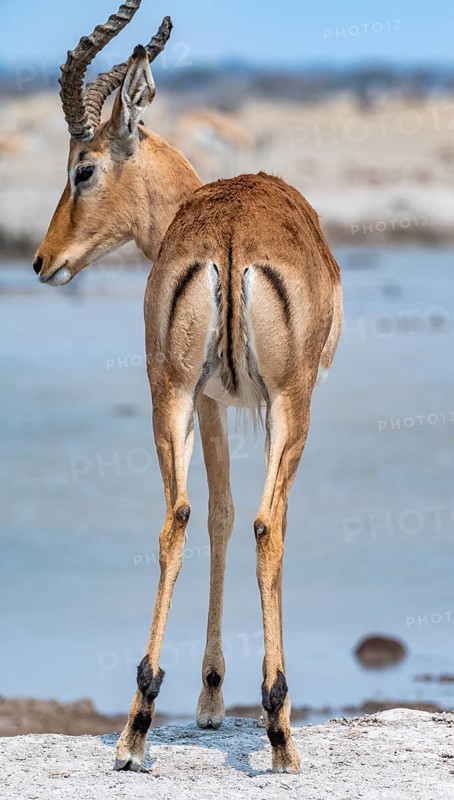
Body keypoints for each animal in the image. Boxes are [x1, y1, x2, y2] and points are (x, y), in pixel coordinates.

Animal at [34, 0, 343, 775]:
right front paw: (221, 701)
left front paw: (204, 701)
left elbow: (215, 514)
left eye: (83, 169)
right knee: (266, 524)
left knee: (175, 516)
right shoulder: (251, 402)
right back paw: (280, 732)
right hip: (289, 403)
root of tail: (228, 235)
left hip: (166, 392)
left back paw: (136, 729)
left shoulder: (204, 399)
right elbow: (245, 518)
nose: (41, 260)